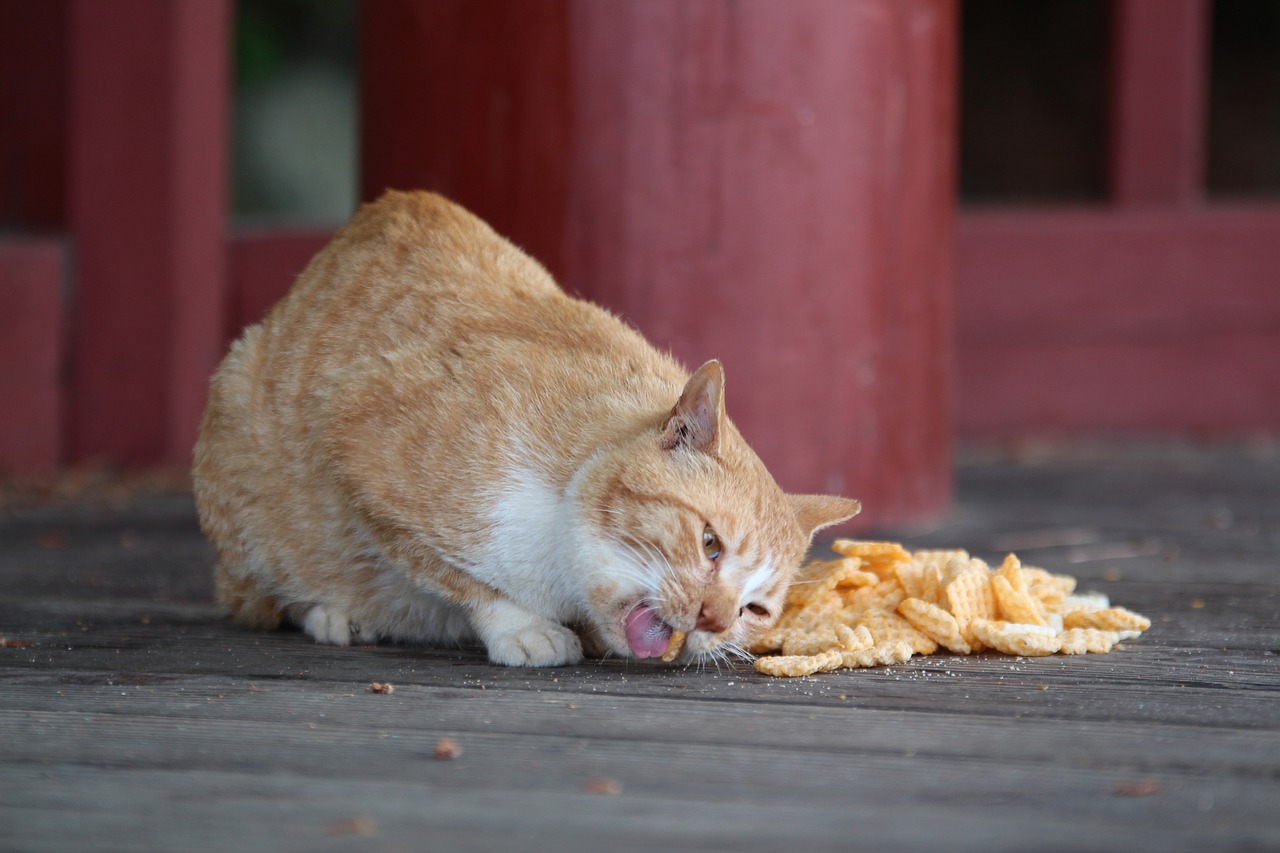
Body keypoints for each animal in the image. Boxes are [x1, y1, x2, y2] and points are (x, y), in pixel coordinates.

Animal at [194, 190, 860, 666]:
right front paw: (522, 627)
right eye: (710, 544)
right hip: (237, 420)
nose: (712, 621)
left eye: (755, 610)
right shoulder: (354, 435)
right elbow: (454, 573)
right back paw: (332, 611)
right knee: (258, 593)